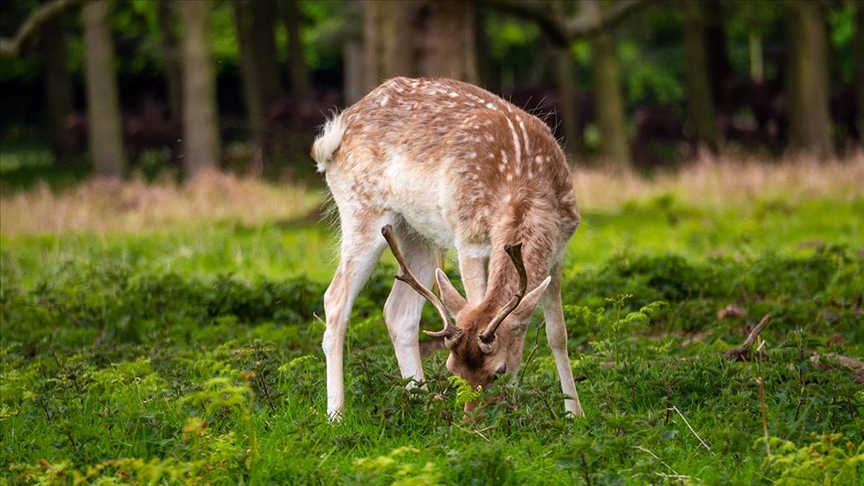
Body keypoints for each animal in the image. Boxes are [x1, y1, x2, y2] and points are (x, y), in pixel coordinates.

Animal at [308, 78, 584, 420]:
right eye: (453, 369)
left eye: (500, 370)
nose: (470, 420)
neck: (523, 185)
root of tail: (330, 138)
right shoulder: (469, 238)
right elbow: (477, 301)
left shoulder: (559, 248)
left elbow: (557, 333)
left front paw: (575, 414)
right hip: (360, 211)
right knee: (335, 299)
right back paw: (337, 415)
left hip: (416, 232)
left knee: (398, 311)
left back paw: (422, 401)